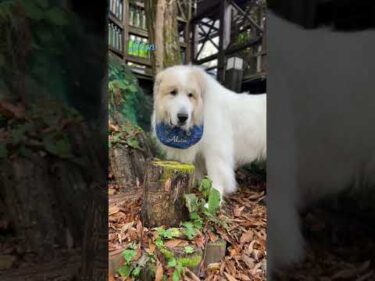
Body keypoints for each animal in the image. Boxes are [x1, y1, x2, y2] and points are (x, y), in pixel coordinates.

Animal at [151, 65, 266, 197]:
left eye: (190, 95)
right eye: (173, 92)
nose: (183, 117)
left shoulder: (216, 151)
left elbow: (216, 176)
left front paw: (215, 196)